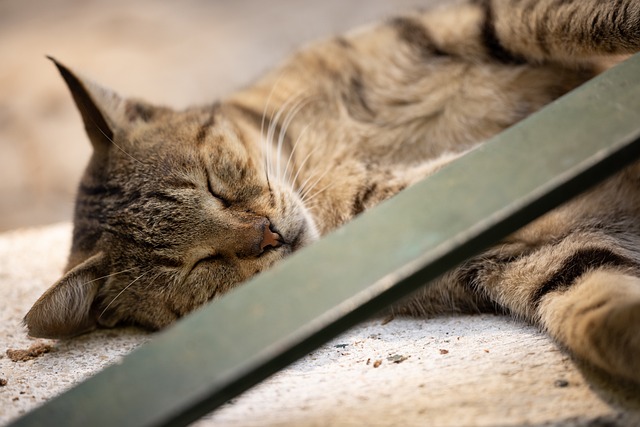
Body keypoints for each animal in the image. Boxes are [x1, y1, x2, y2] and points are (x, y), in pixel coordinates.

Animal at [22, 0, 640, 386]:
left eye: (213, 186)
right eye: (200, 264)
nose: (266, 236)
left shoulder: (468, 25)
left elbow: (575, 18)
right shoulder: (513, 258)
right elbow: (592, 299)